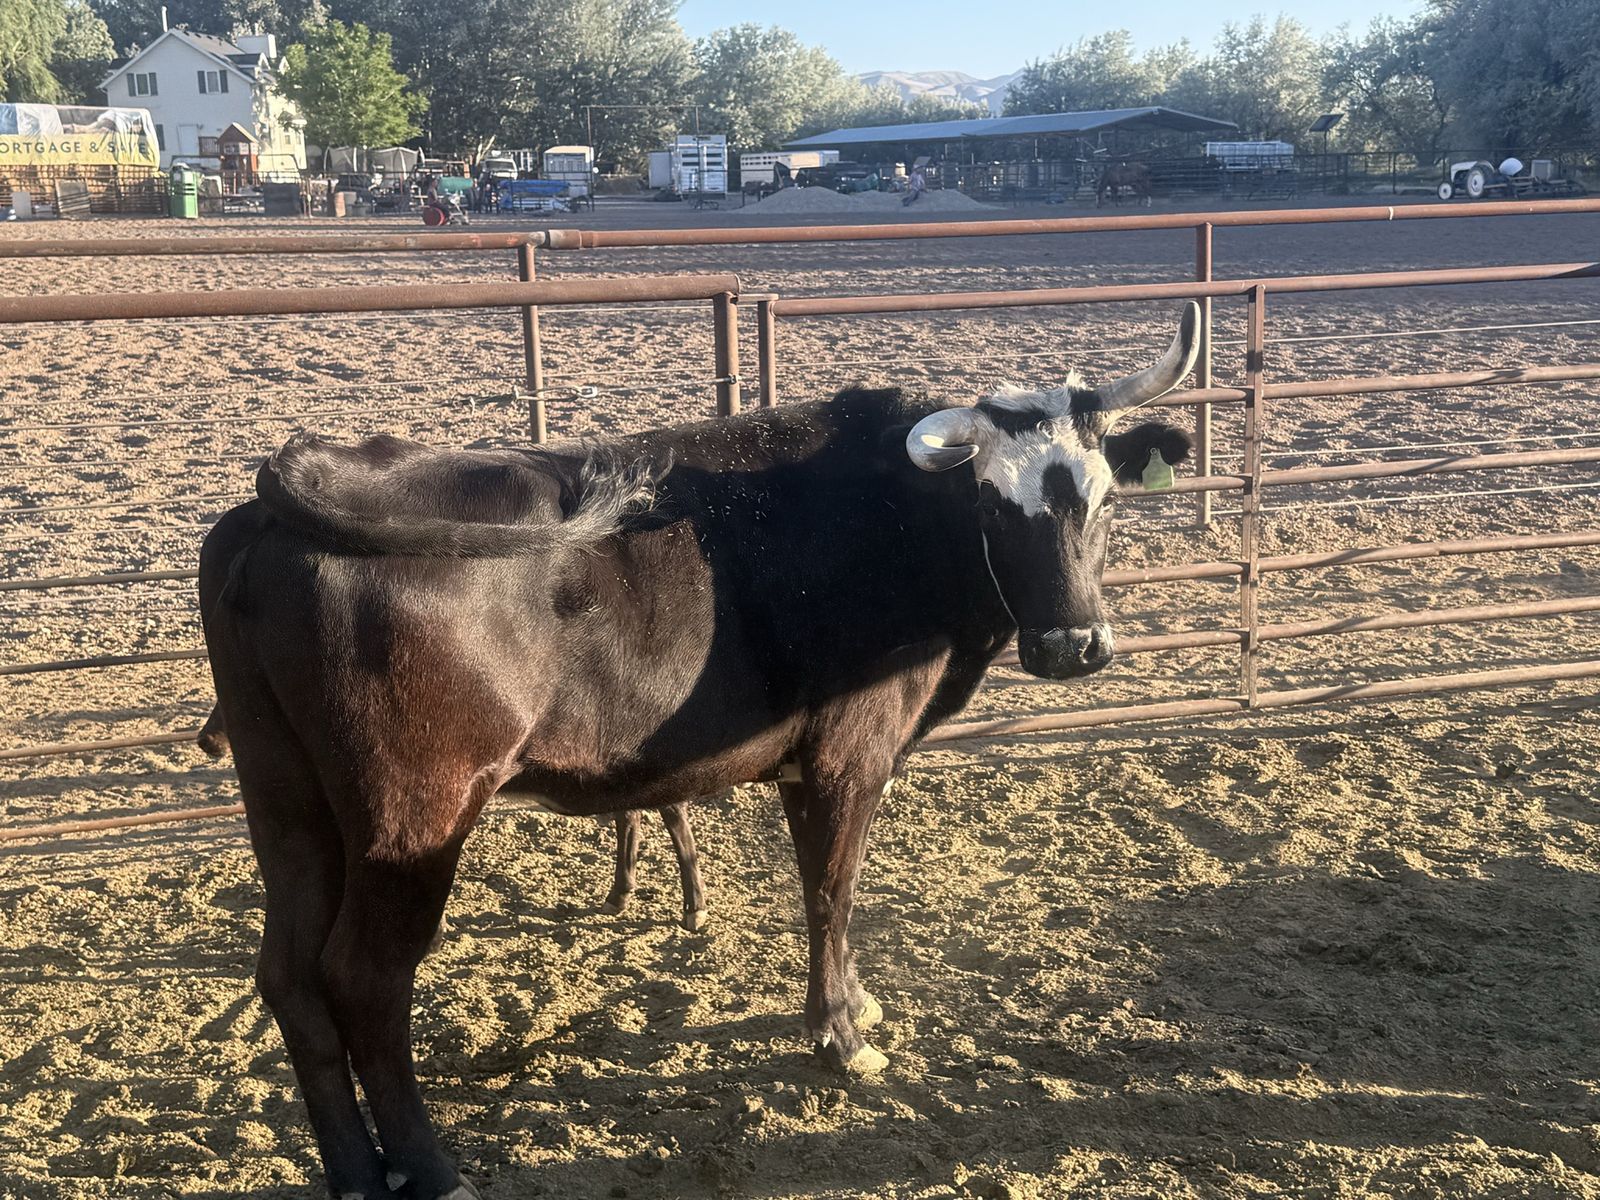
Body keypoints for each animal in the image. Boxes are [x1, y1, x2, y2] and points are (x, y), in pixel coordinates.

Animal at [199, 305, 1200, 1200]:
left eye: (1104, 499)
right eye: (994, 504)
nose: (1073, 645)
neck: (888, 521)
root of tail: (292, 493)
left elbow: (830, 892)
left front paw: (853, 1004)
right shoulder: (847, 758)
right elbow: (831, 894)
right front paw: (841, 1037)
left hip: (288, 800)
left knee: (289, 976)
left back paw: (355, 1175)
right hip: (414, 814)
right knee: (364, 979)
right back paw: (431, 1171)